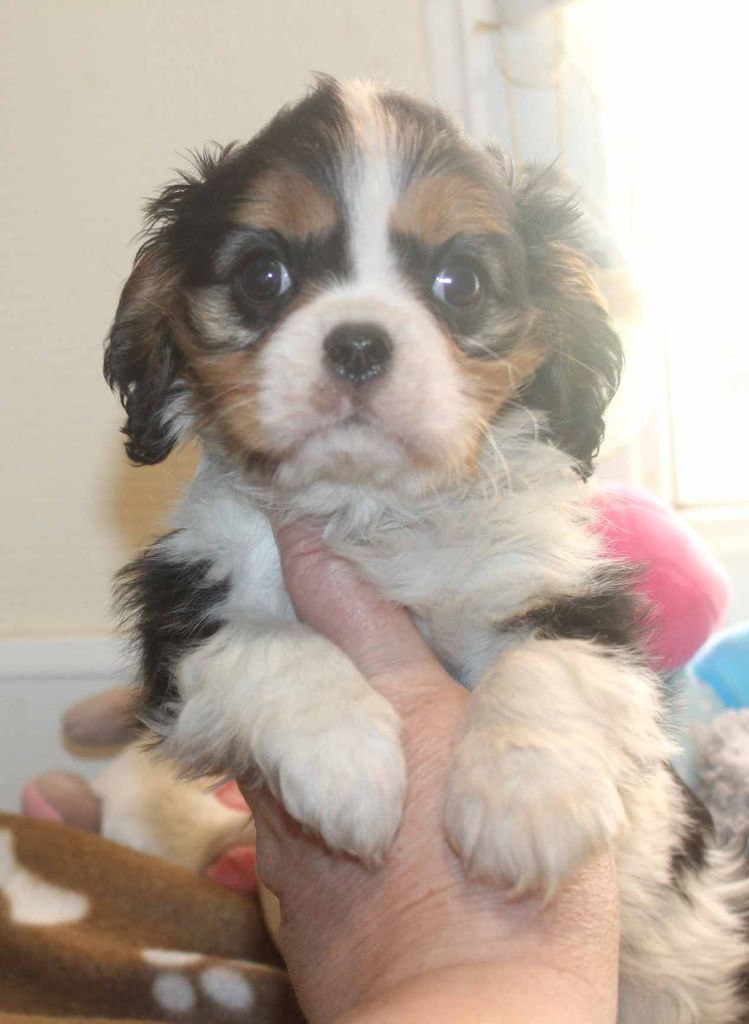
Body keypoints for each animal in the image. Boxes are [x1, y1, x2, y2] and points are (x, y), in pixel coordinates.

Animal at [104, 78, 749, 1021]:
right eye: (265, 276)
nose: (357, 342)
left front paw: (528, 801)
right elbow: (271, 643)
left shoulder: (569, 594)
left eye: (460, 283)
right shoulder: (184, 611)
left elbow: (544, 666)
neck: (372, 510)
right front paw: (345, 762)